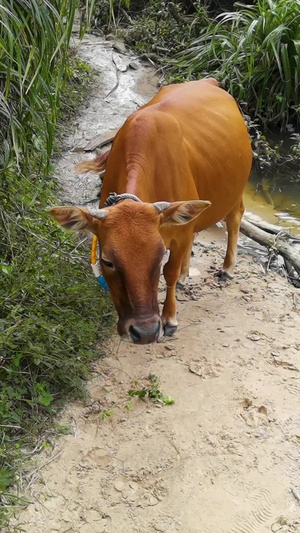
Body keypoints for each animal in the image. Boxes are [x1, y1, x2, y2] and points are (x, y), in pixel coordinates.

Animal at [50, 79, 252, 344]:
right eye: (107, 261)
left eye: (158, 256)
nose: (145, 332)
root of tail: (208, 81)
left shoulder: (179, 234)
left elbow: (170, 273)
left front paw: (170, 319)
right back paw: (187, 275)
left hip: (235, 192)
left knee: (234, 218)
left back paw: (227, 268)